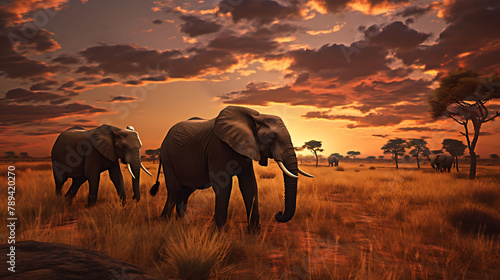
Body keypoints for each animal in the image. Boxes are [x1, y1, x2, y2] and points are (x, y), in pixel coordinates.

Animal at [149, 105, 312, 230]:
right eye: (270, 137)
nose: (279, 213)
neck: (256, 117)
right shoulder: (217, 147)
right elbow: (223, 185)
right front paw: (219, 233)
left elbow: (249, 185)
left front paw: (254, 233)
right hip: (167, 156)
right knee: (174, 189)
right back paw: (165, 222)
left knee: (186, 190)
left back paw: (185, 224)